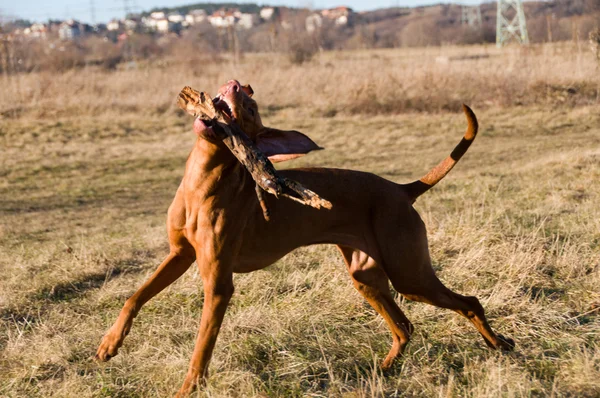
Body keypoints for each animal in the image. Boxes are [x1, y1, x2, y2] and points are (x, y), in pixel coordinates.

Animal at [96, 78, 512, 394]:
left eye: (250, 108)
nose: (238, 83)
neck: (202, 181)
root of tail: (400, 189)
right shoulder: (179, 255)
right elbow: (134, 296)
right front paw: (110, 343)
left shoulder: (218, 284)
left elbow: (202, 345)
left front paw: (189, 387)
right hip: (366, 276)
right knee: (405, 326)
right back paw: (383, 369)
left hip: (410, 275)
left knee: (469, 302)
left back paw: (501, 346)